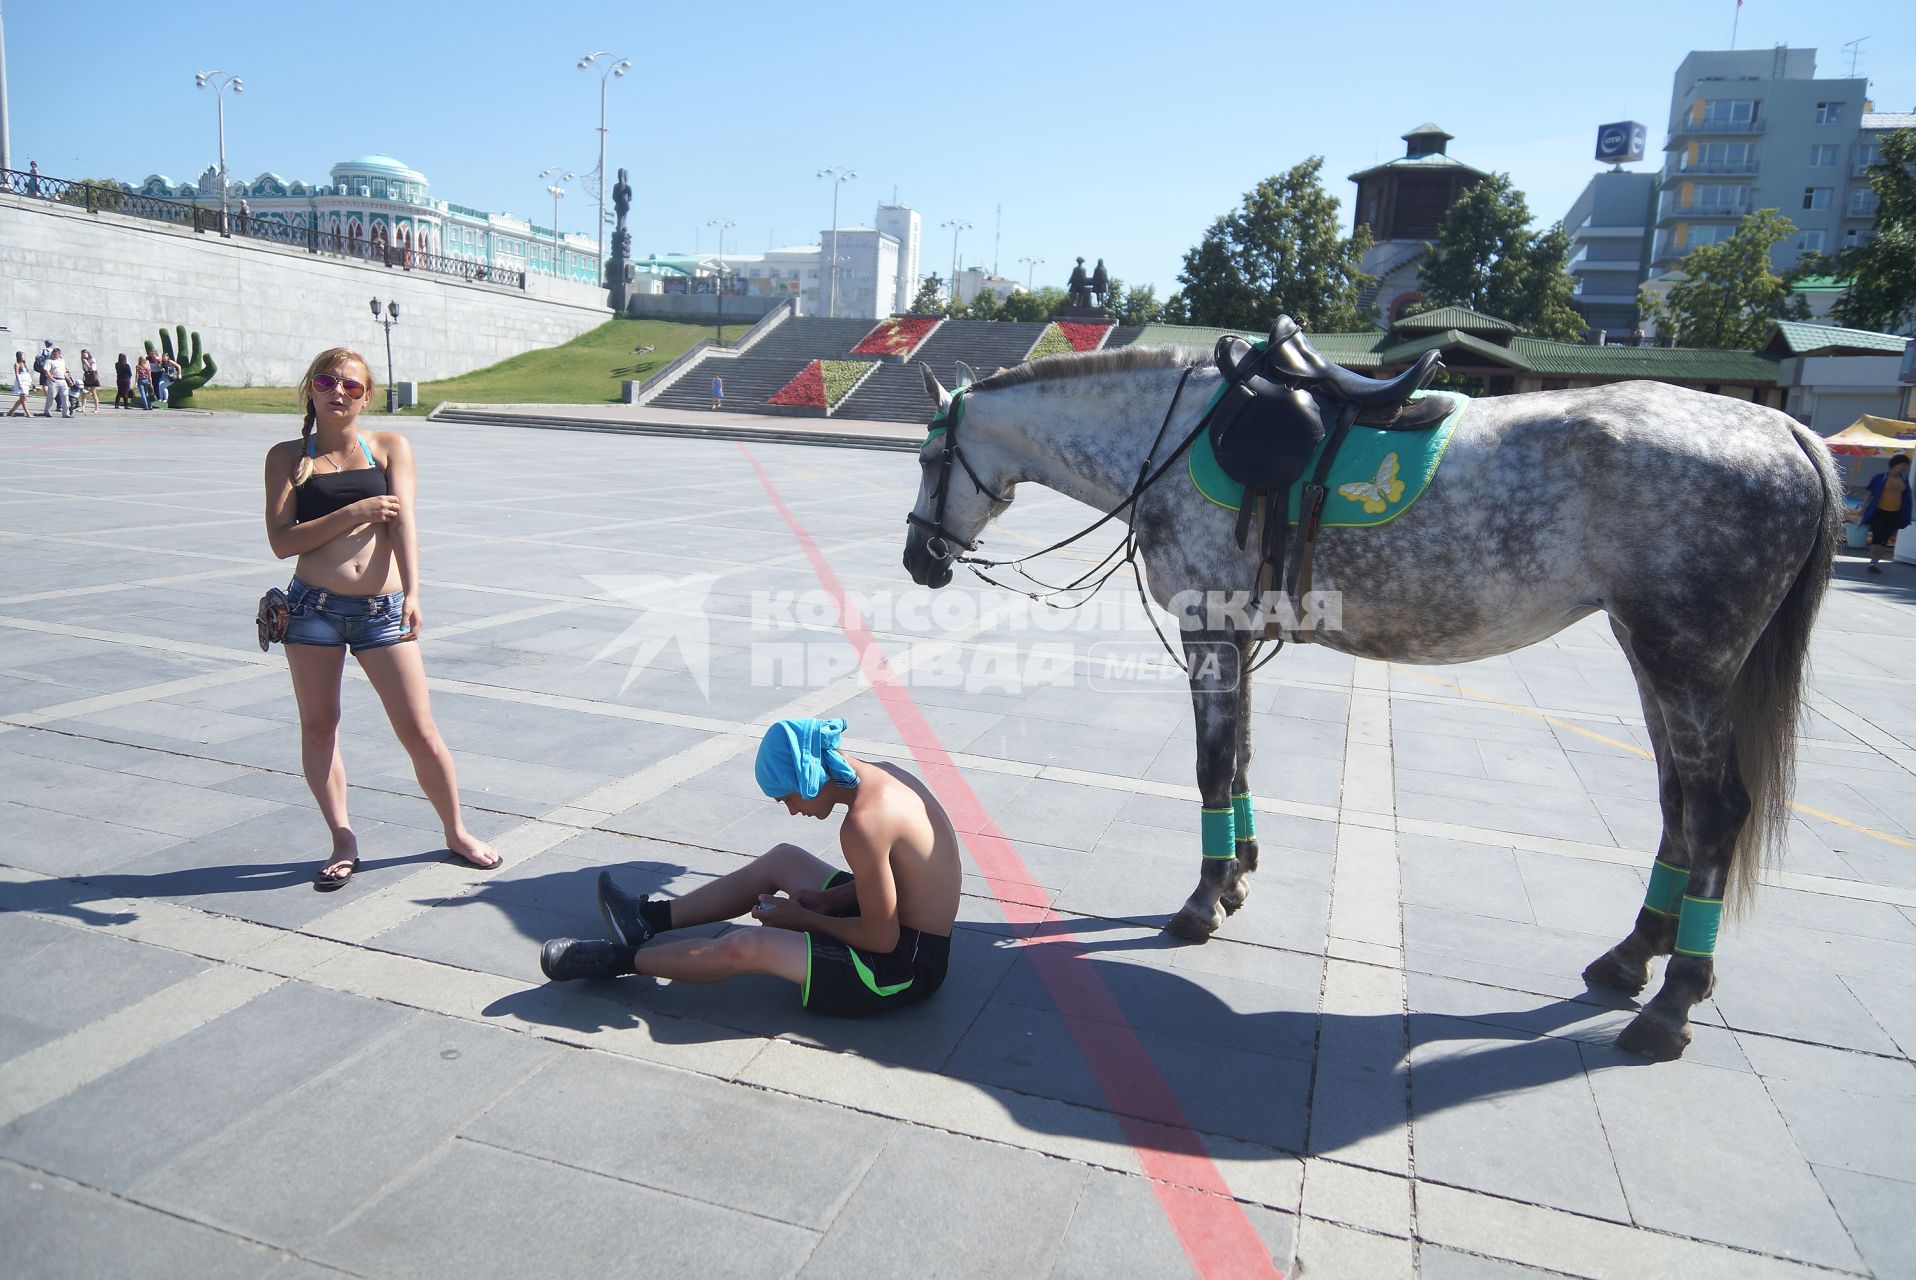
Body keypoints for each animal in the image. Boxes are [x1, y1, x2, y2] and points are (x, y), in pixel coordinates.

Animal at [904, 350, 1847, 1057]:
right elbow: (1240, 764)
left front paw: (1203, 901)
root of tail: (1786, 429)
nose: (919, 560)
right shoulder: (1238, 636)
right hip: (1652, 657)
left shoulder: (1209, 632)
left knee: (1716, 813)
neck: (1172, 441)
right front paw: (1239, 874)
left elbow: (1211, 769)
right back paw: (1630, 958)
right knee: (1677, 807)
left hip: (1688, 663)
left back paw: (1672, 1001)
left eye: (926, 459)